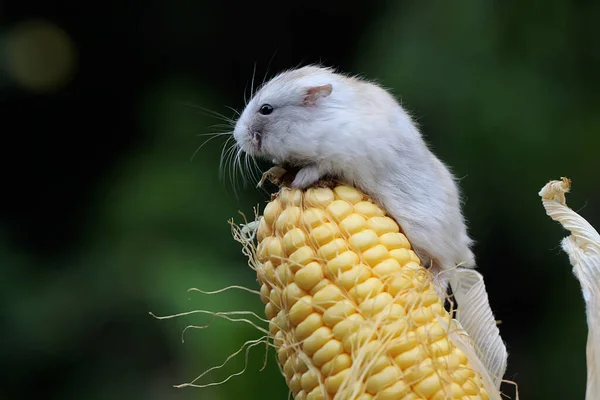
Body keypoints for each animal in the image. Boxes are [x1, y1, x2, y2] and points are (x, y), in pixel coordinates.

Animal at [232, 65, 476, 274]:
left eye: (266, 109)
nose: (237, 136)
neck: (314, 123)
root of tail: (463, 245)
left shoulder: (337, 156)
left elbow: (315, 168)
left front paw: (298, 182)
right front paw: (272, 175)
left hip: (427, 235)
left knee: (444, 267)